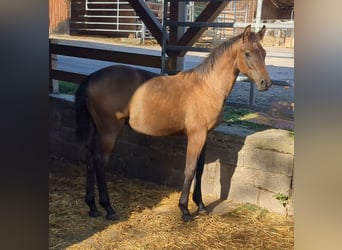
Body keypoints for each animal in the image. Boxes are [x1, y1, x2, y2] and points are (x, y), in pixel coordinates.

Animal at [76, 24, 272, 221]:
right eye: (247, 53)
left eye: (263, 52)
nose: (266, 83)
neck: (207, 87)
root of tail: (92, 77)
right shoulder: (196, 135)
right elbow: (190, 169)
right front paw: (184, 209)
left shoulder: (204, 135)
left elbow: (200, 169)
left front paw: (201, 206)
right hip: (108, 132)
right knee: (100, 163)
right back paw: (108, 208)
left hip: (96, 130)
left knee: (90, 160)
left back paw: (92, 207)